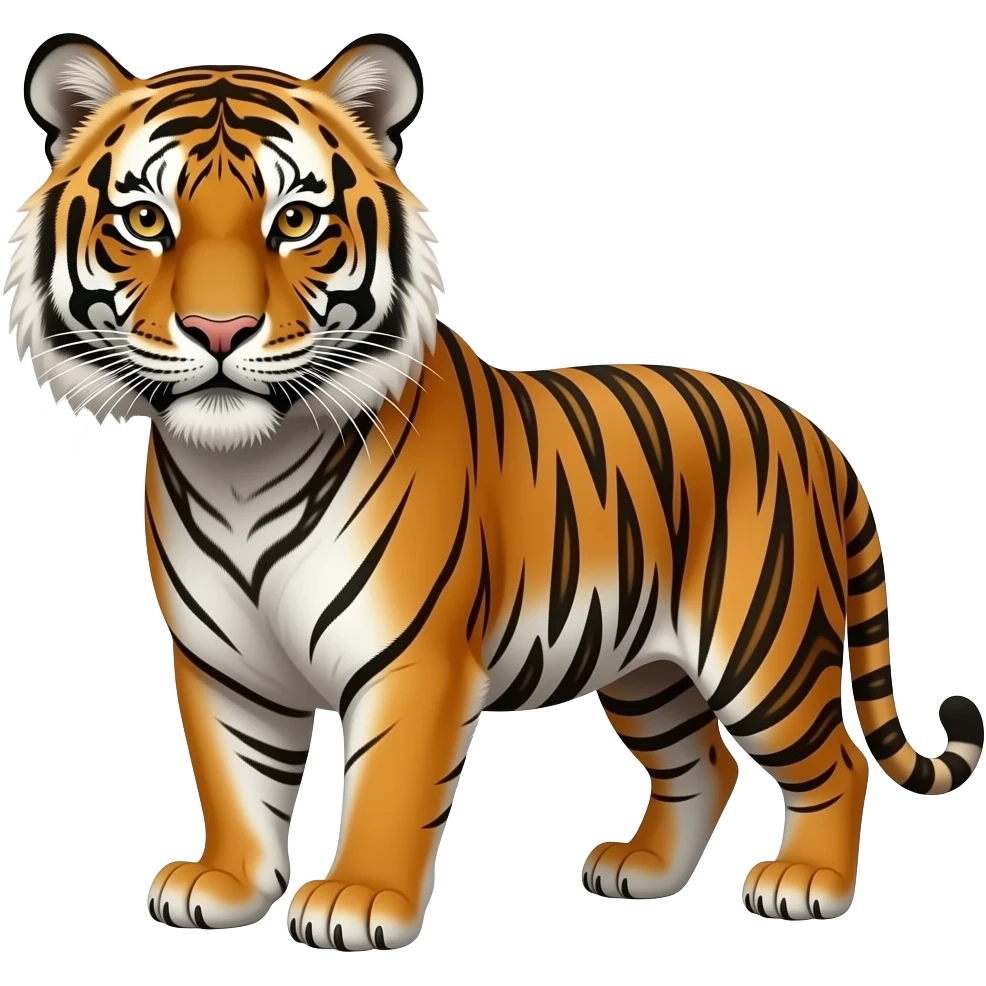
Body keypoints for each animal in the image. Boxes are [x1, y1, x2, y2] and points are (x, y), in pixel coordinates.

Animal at [5, 30, 982, 951]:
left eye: (295, 221)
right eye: (144, 219)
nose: (219, 329)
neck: (240, 467)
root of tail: (810, 431)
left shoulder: (411, 659)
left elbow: (388, 786)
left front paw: (358, 900)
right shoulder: (223, 662)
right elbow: (235, 778)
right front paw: (226, 885)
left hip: (761, 648)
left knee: (835, 761)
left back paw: (807, 885)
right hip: (647, 667)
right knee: (704, 762)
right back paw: (643, 872)